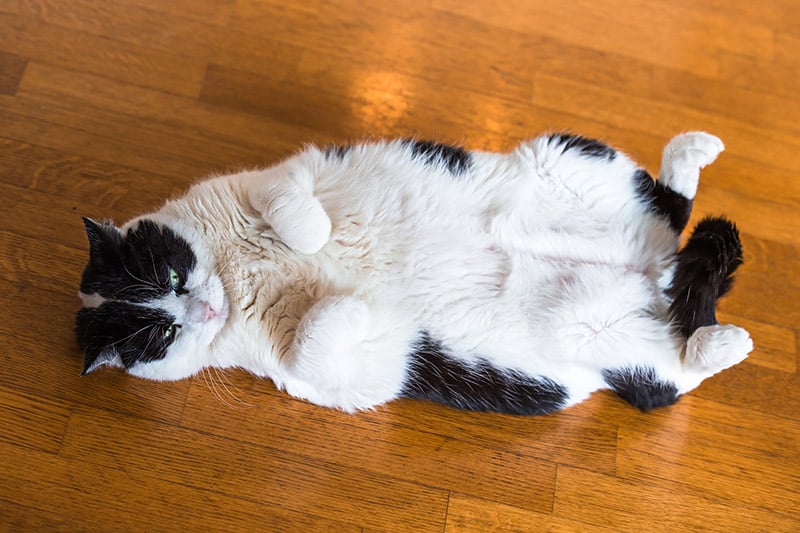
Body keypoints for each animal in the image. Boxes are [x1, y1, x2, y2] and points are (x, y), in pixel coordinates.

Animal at [72, 131, 752, 414]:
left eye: (169, 276)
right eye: (161, 334)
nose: (203, 310)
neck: (239, 280)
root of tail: (657, 270)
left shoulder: (280, 177)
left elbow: (297, 217)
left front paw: (315, 240)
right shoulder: (338, 378)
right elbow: (318, 341)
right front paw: (353, 303)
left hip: (564, 156)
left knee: (670, 208)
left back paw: (693, 150)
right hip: (614, 349)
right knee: (680, 363)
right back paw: (722, 341)